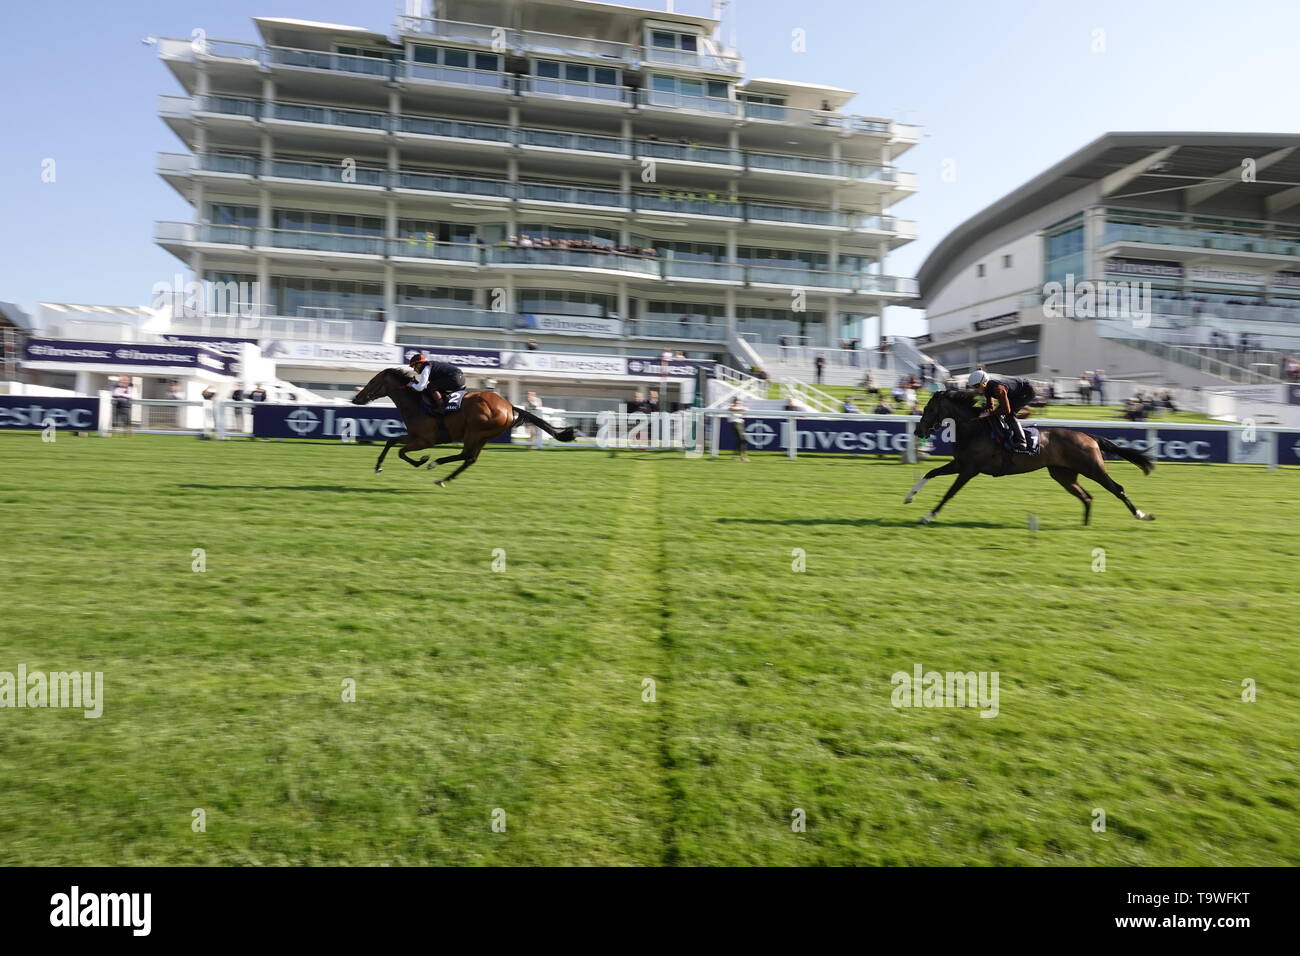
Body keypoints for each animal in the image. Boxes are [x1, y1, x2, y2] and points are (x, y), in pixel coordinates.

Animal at [351, 366, 574, 486]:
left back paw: (436, 464)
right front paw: (378, 466)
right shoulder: (414, 436)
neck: (416, 403)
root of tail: (509, 405)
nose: (356, 398)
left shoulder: (425, 440)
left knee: (466, 454)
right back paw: (444, 478)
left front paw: (423, 460)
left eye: (372, 382)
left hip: (474, 431)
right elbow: (391, 442)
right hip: (484, 436)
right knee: (470, 458)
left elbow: (401, 451)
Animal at [909, 390, 1154, 528]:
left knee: (1117, 489)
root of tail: (1089, 436)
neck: (973, 429)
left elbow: (949, 493)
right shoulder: (960, 464)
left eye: (929, 408)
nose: (918, 431)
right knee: (1087, 497)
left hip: (1092, 469)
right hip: (1063, 475)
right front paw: (909, 497)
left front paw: (927, 516)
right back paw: (1083, 525)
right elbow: (930, 472)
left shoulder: (970, 469)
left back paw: (1142, 515)